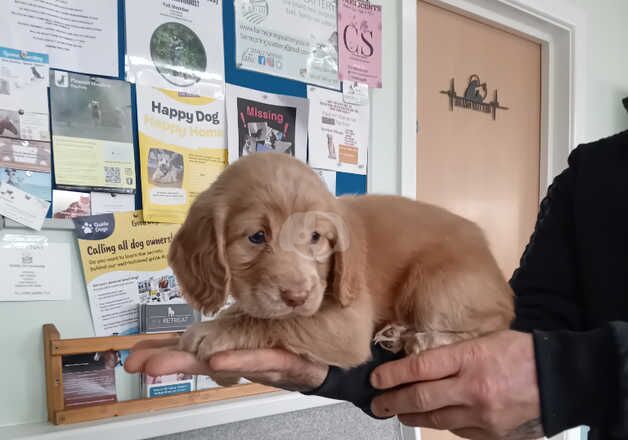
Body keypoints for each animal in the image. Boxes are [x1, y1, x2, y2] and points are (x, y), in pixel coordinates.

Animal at [169, 153, 512, 384]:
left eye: (315, 237)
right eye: (256, 236)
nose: (297, 297)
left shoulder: (348, 322)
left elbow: (281, 321)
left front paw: (215, 330)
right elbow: (258, 312)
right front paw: (230, 315)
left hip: (432, 283)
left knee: (493, 324)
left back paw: (422, 339)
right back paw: (398, 332)